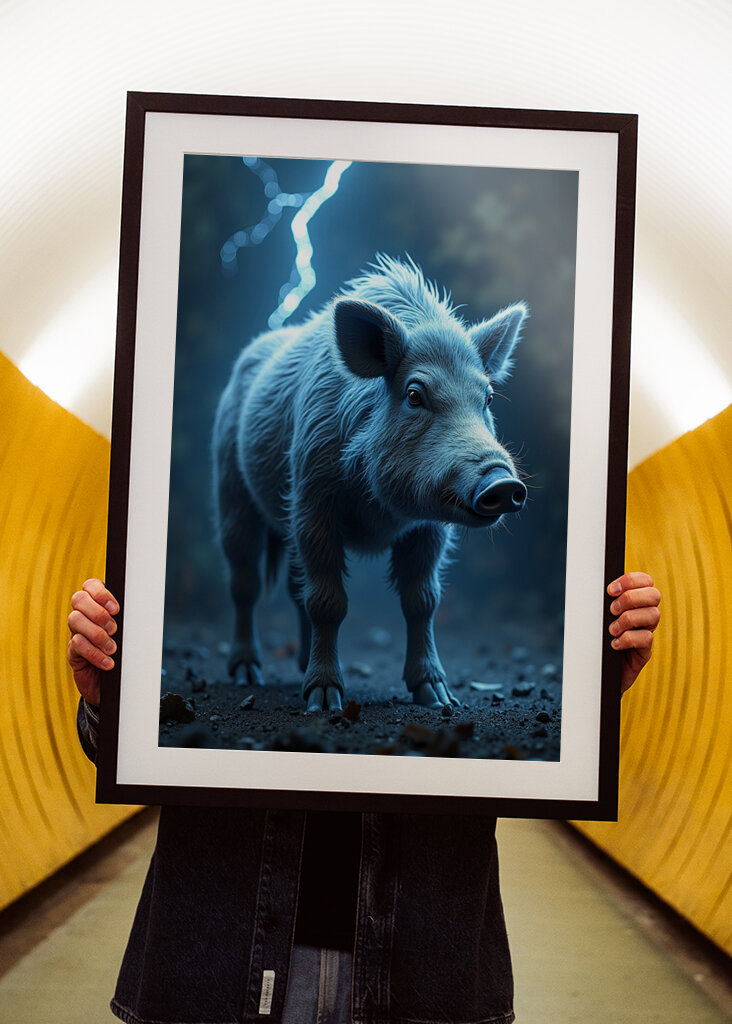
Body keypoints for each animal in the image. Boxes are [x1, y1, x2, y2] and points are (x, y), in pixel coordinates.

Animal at [213, 255, 528, 712]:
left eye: (486, 397)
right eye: (414, 395)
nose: (502, 482)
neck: (383, 511)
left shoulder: (428, 528)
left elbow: (423, 600)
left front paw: (439, 699)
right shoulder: (311, 498)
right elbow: (328, 600)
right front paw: (324, 703)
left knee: (293, 586)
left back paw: (297, 668)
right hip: (231, 492)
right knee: (244, 583)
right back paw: (246, 676)